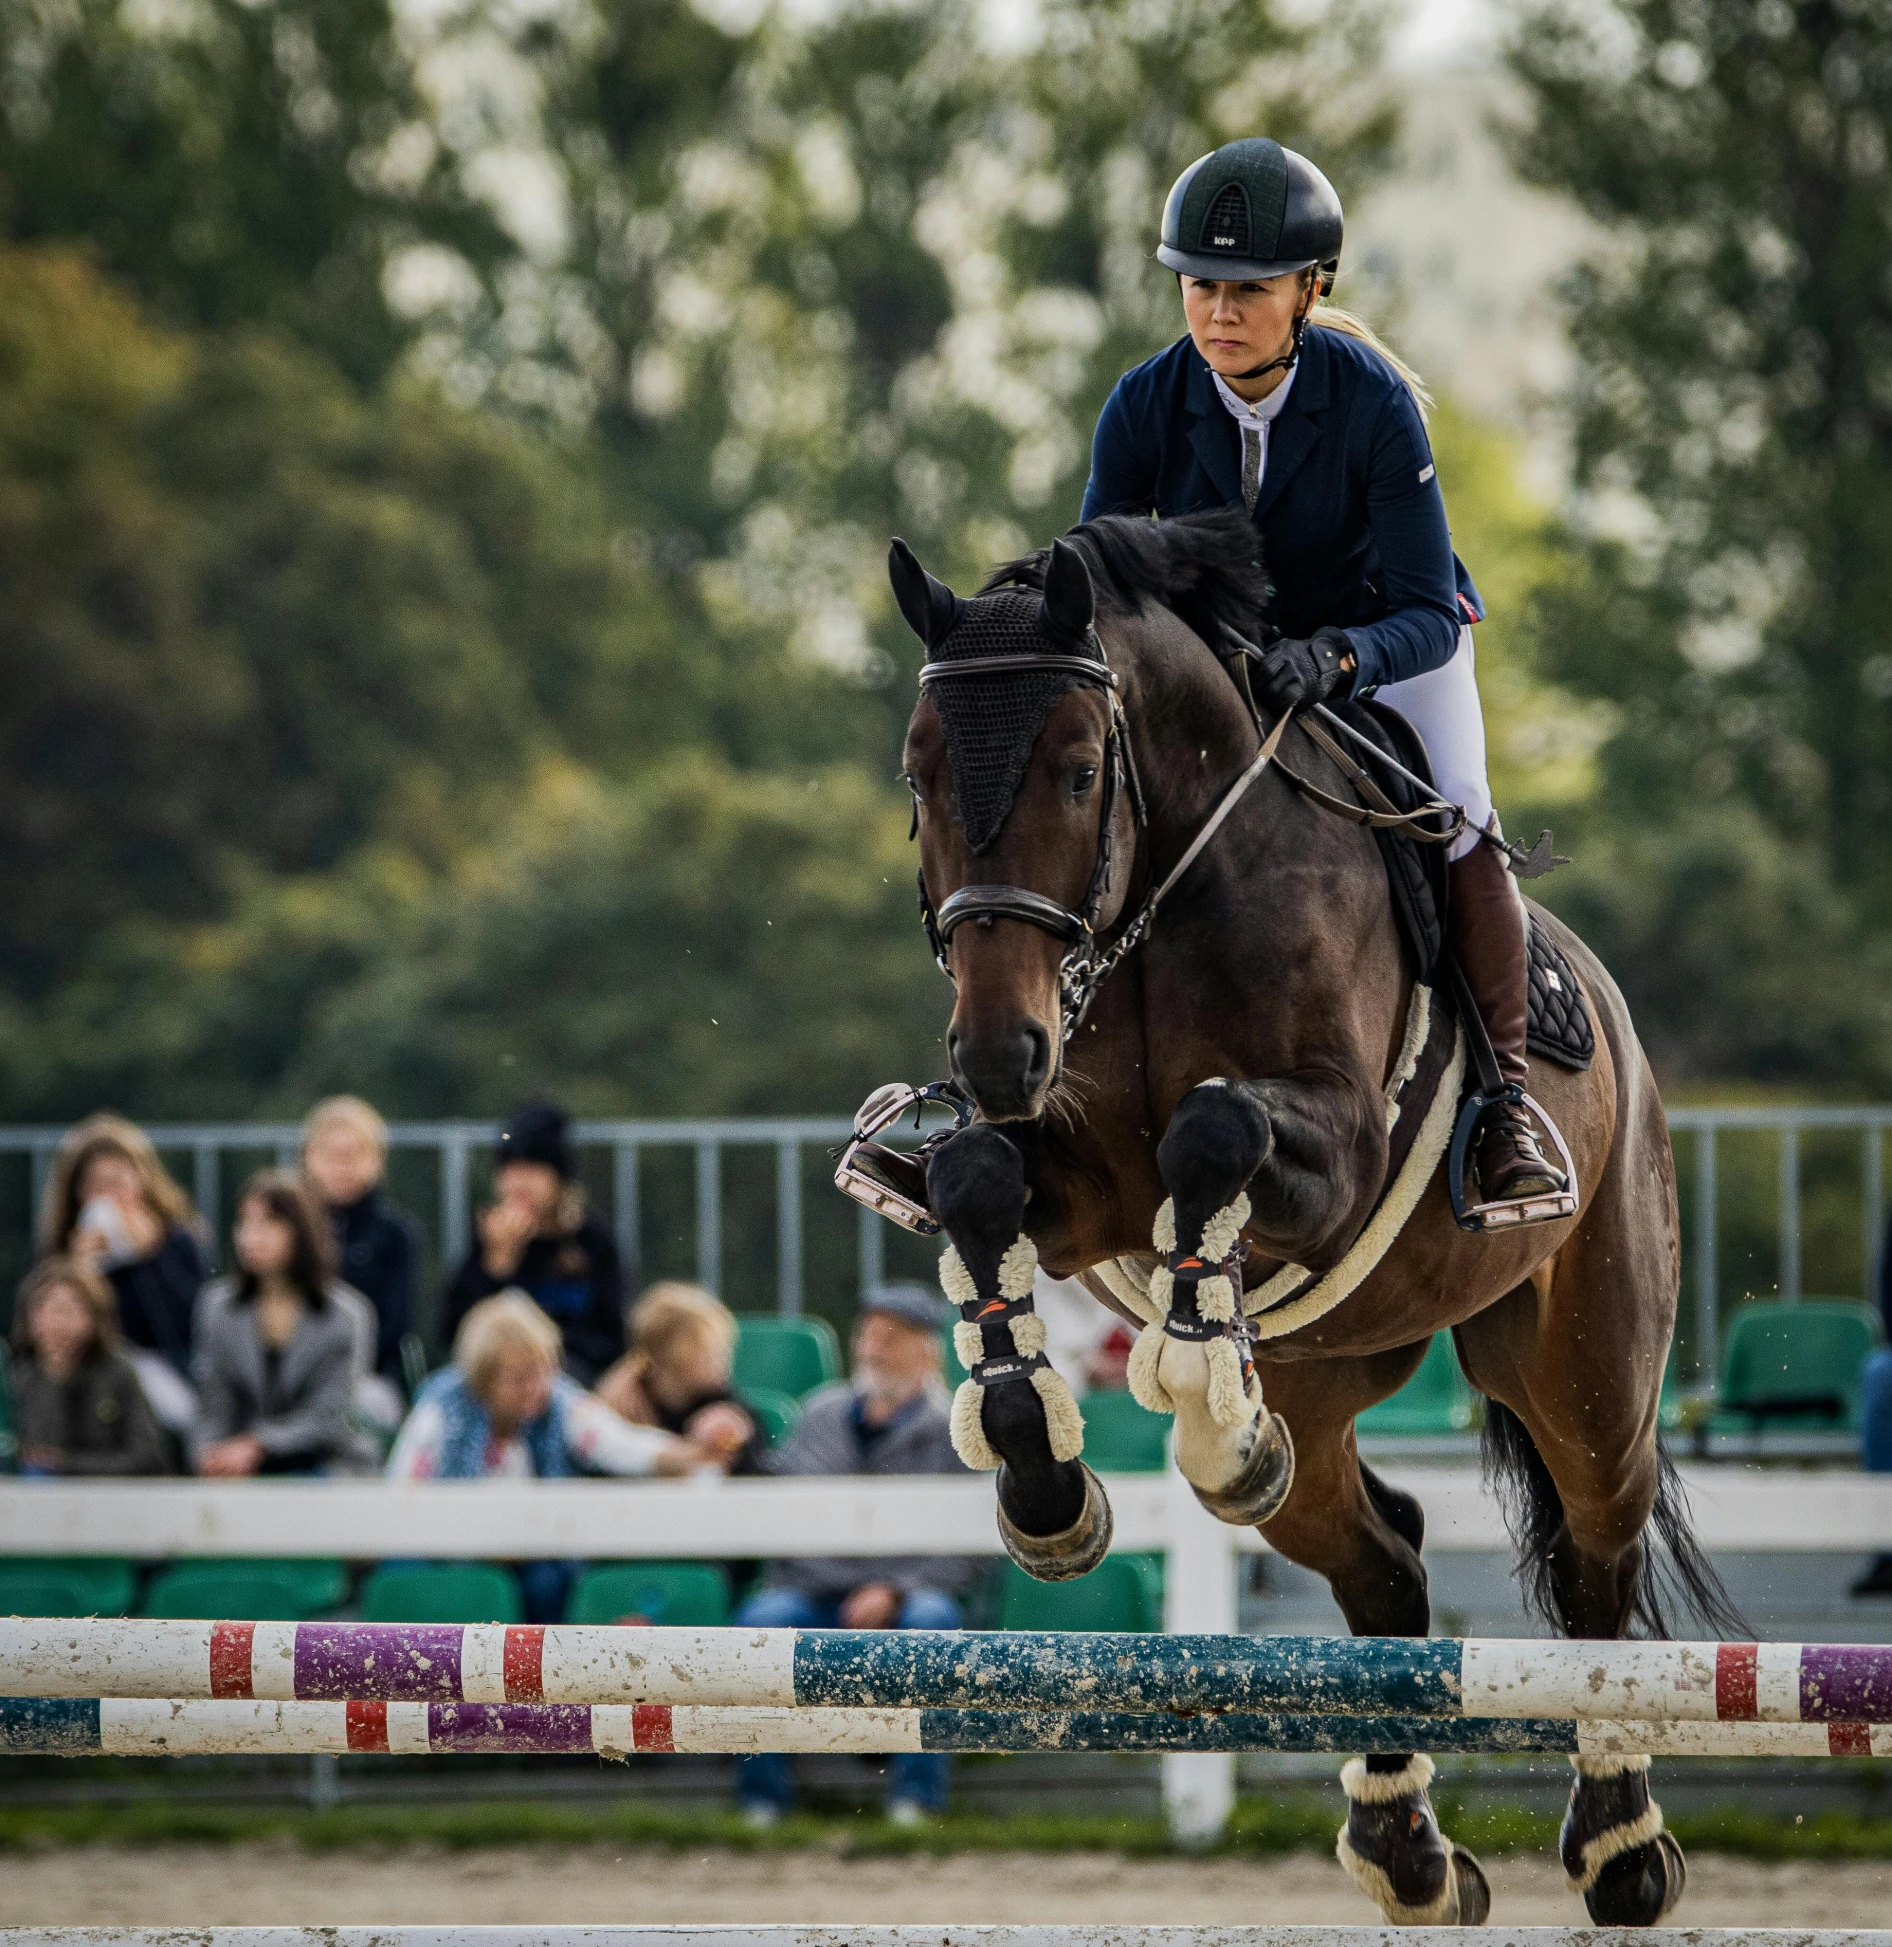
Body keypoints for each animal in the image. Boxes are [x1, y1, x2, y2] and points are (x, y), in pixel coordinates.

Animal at [887, 514, 1728, 1931]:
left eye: (1076, 773)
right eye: (917, 773)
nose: (996, 1053)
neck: (1162, 896)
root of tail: (1616, 1023)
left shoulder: (1332, 1152)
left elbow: (1212, 1132)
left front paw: (1194, 1382)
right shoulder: (1080, 1180)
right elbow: (976, 1184)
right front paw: (1047, 1483)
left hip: (1586, 1364)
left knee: (1593, 1560)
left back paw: (1618, 1847)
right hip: (1333, 1376)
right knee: (1377, 1561)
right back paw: (1405, 1846)